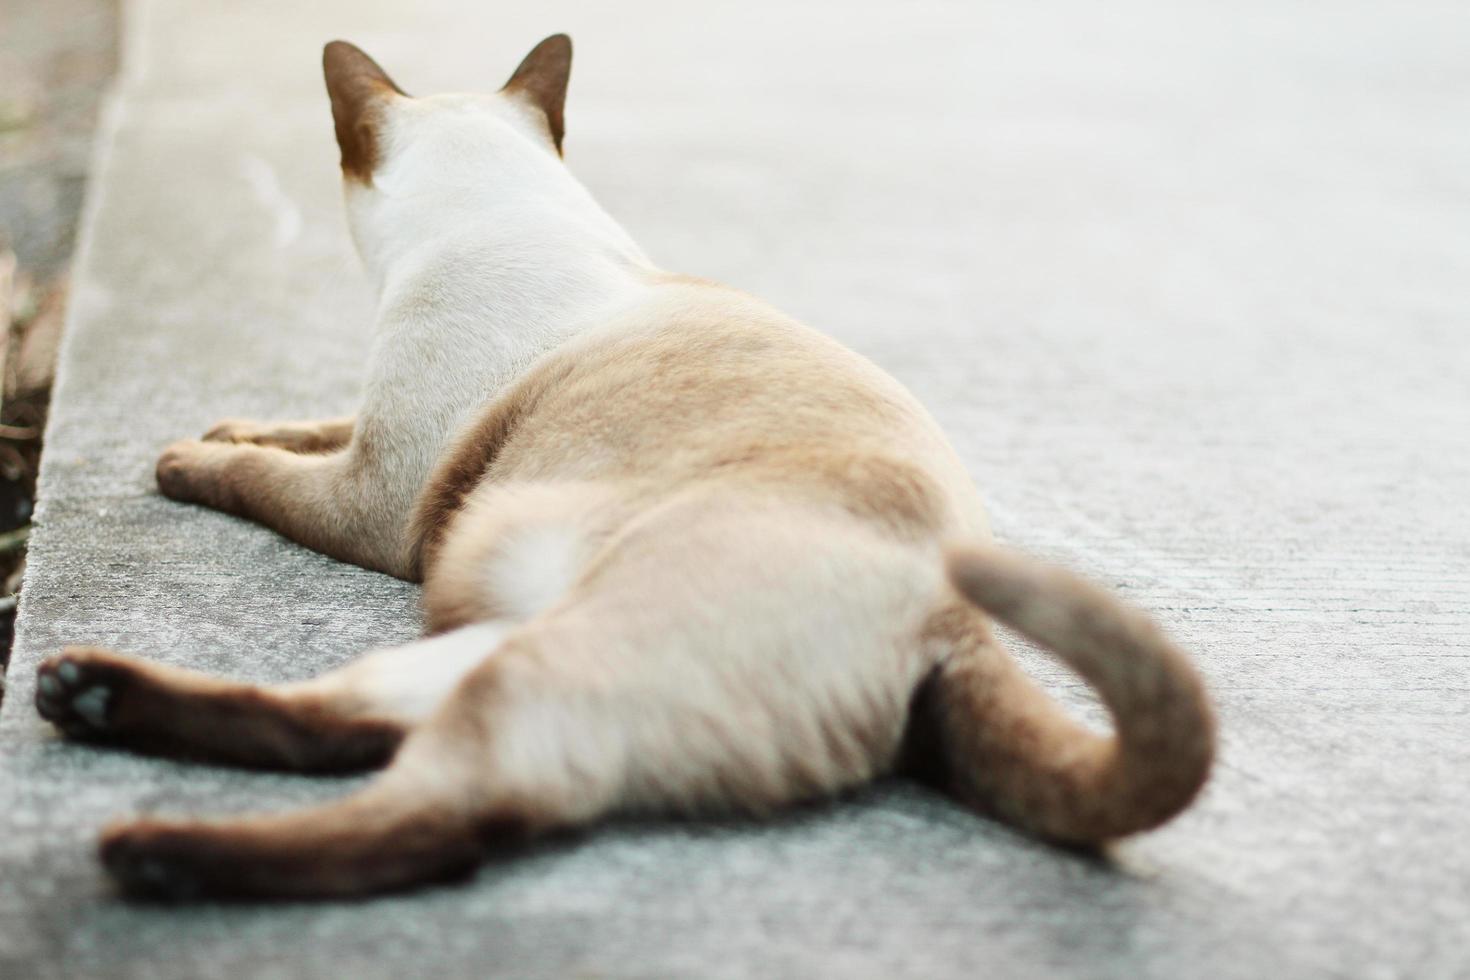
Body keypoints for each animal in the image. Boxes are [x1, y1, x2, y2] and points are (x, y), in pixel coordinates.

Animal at [31, 36, 1217, 899]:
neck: (502, 217)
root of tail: (956, 620)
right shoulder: (370, 436)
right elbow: (289, 428)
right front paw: (227, 425)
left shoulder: (377, 499)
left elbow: (254, 478)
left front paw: (182, 458)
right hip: (489, 637)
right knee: (342, 730)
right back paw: (86, 696)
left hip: (547, 663)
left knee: (443, 821)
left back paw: (149, 851)